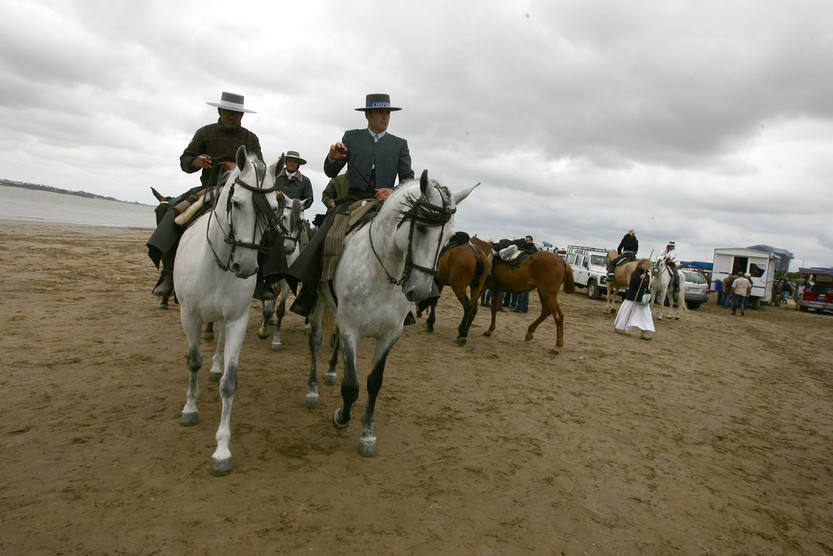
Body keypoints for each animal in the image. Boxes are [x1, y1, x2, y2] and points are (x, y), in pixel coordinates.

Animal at [174, 146, 282, 476]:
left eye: (275, 207)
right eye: (236, 203)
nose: (244, 267)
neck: (217, 264)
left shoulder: (237, 320)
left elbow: (229, 383)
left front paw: (222, 449)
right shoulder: (190, 317)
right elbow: (192, 362)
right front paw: (190, 409)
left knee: (220, 340)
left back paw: (215, 367)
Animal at [255, 195, 310, 350]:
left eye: (301, 222)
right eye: (284, 217)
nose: (288, 247)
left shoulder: (287, 280)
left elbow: (280, 309)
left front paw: (276, 340)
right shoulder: (267, 277)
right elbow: (267, 306)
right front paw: (263, 330)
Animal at [306, 170, 478, 456]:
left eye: (448, 239)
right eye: (421, 227)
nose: (421, 291)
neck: (382, 272)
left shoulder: (389, 334)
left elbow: (374, 382)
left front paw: (367, 434)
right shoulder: (351, 328)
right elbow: (351, 385)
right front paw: (342, 416)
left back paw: (330, 372)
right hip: (319, 300)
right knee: (317, 340)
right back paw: (312, 392)